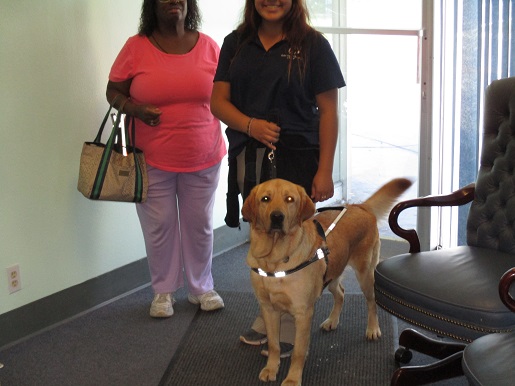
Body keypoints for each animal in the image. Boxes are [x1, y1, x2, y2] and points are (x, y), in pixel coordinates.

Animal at [242, 176, 416, 384]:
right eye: (265, 199)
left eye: (290, 199)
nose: (277, 217)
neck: (274, 260)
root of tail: (359, 206)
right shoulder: (268, 308)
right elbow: (274, 344)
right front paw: (271, 368)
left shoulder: (303, 312)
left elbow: (298, 351)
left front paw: (292, 379)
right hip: (332, 274)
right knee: (340, 293)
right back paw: (332, 321)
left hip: (365, 273)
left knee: (371, 301)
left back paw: (373, 329)